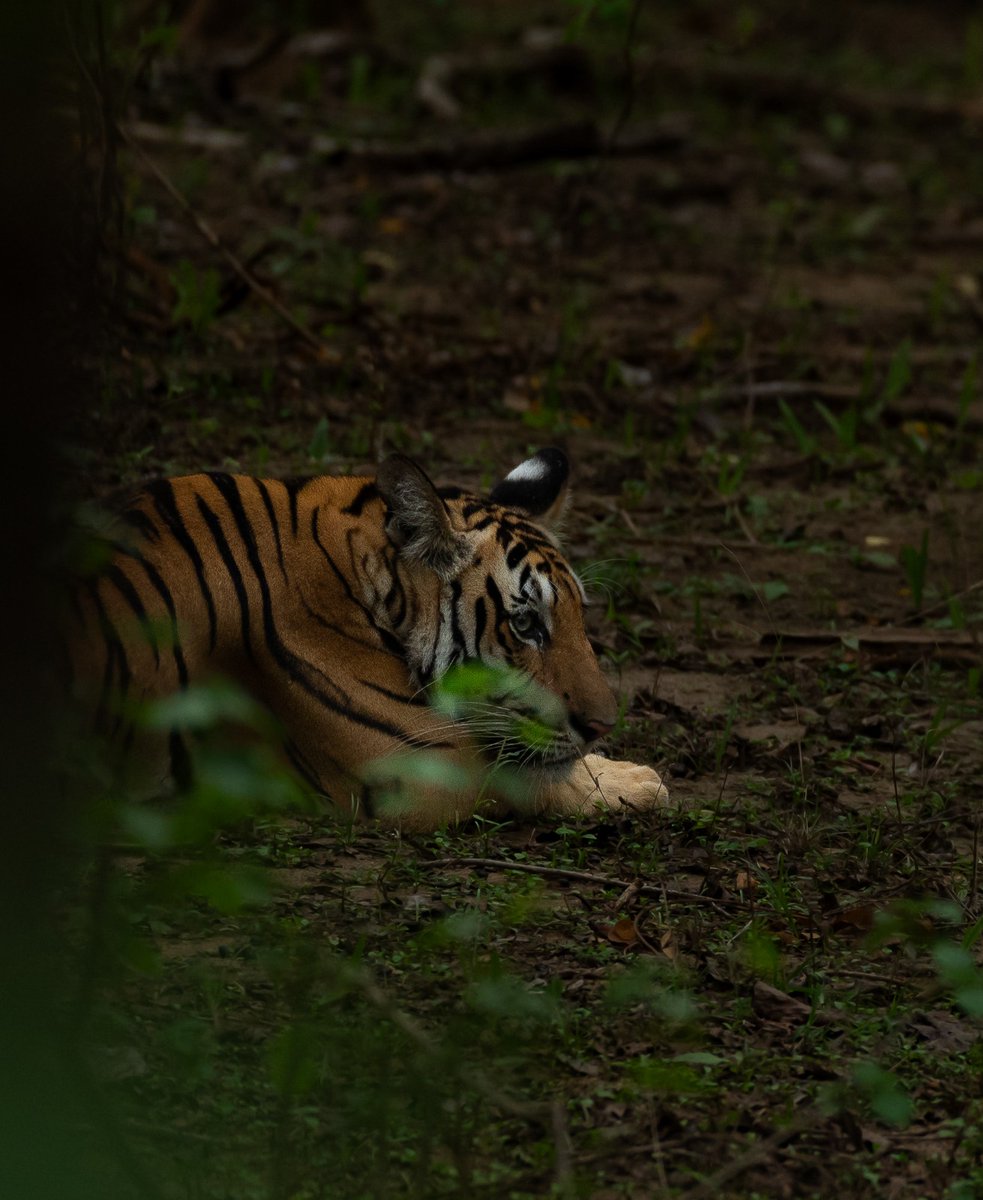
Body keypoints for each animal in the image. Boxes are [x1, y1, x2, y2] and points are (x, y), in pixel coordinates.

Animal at [66, 447, 668, 830]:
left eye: (577, 618)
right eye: (525, 625)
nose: (602, 726)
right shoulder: (417, 759)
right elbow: (529, 774)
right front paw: (638, 782)